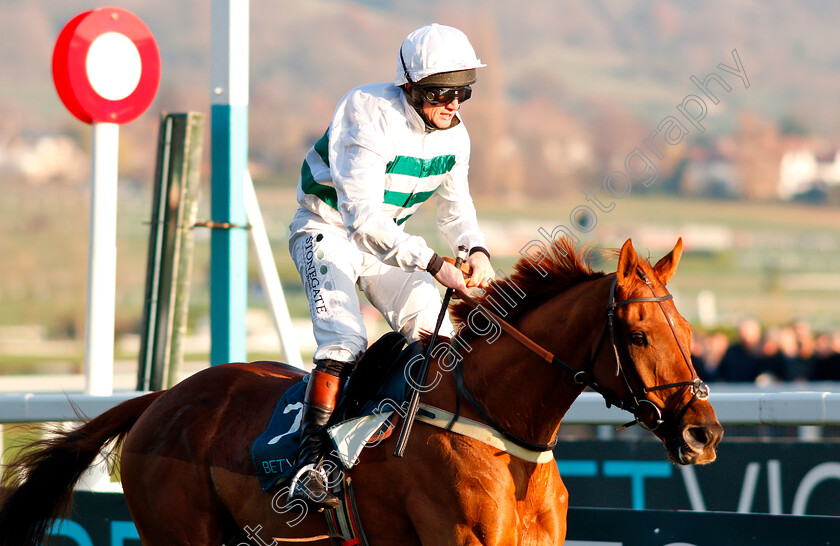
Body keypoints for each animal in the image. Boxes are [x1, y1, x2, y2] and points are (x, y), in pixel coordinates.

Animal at [0, 237, 720, 544]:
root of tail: (162, 399)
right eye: (638, 333)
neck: (495, 425)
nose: (704, 432)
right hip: (180, 535)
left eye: (688, 329)